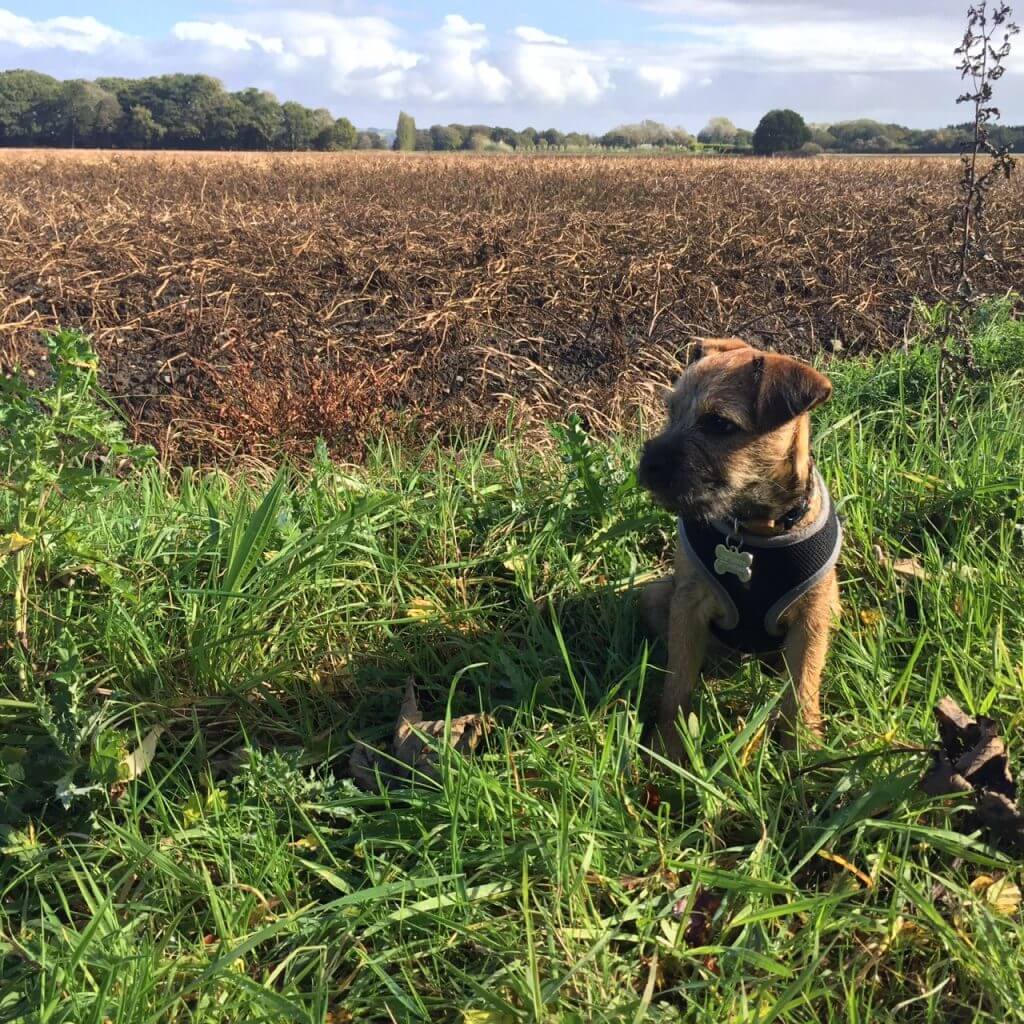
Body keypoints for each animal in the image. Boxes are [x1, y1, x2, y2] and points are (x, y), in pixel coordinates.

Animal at [638, 337, 839, 761]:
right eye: (671, 411)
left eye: (718, 424)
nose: (648, 466)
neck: (754, 529)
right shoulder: (688, 608)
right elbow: (678, 681)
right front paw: (669, 747)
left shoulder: (813, 617)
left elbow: (804, 685)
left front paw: (802, 748)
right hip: (655, 594)